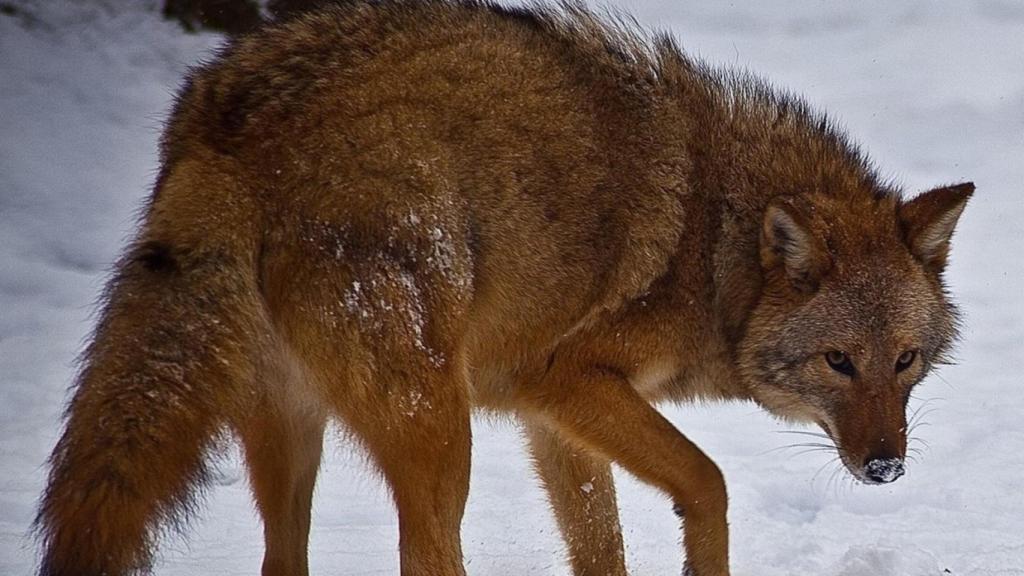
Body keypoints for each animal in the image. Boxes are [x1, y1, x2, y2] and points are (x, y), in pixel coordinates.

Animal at [35, 1, 972, 575]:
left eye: (906, 361)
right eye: (839, 362)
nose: (886, 467)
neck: (717, 249)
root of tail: (234, 117)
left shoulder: (550, 417)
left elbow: (601, 546)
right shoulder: (566, 378)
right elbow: (709, 481)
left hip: (297, 433)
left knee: (283, 558)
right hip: (438, 430)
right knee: (424, 556)